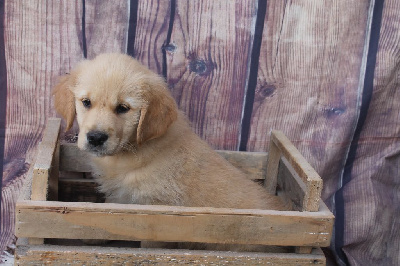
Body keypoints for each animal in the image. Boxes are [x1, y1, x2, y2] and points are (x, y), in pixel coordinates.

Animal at [53, 53, 290, 250]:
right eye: (86, 102)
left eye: (123, 108)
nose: (95, 137)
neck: (132, 151)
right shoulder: (120, 195)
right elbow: (107, 214)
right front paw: (92, 235)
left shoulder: (158, 213)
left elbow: (148, 243)